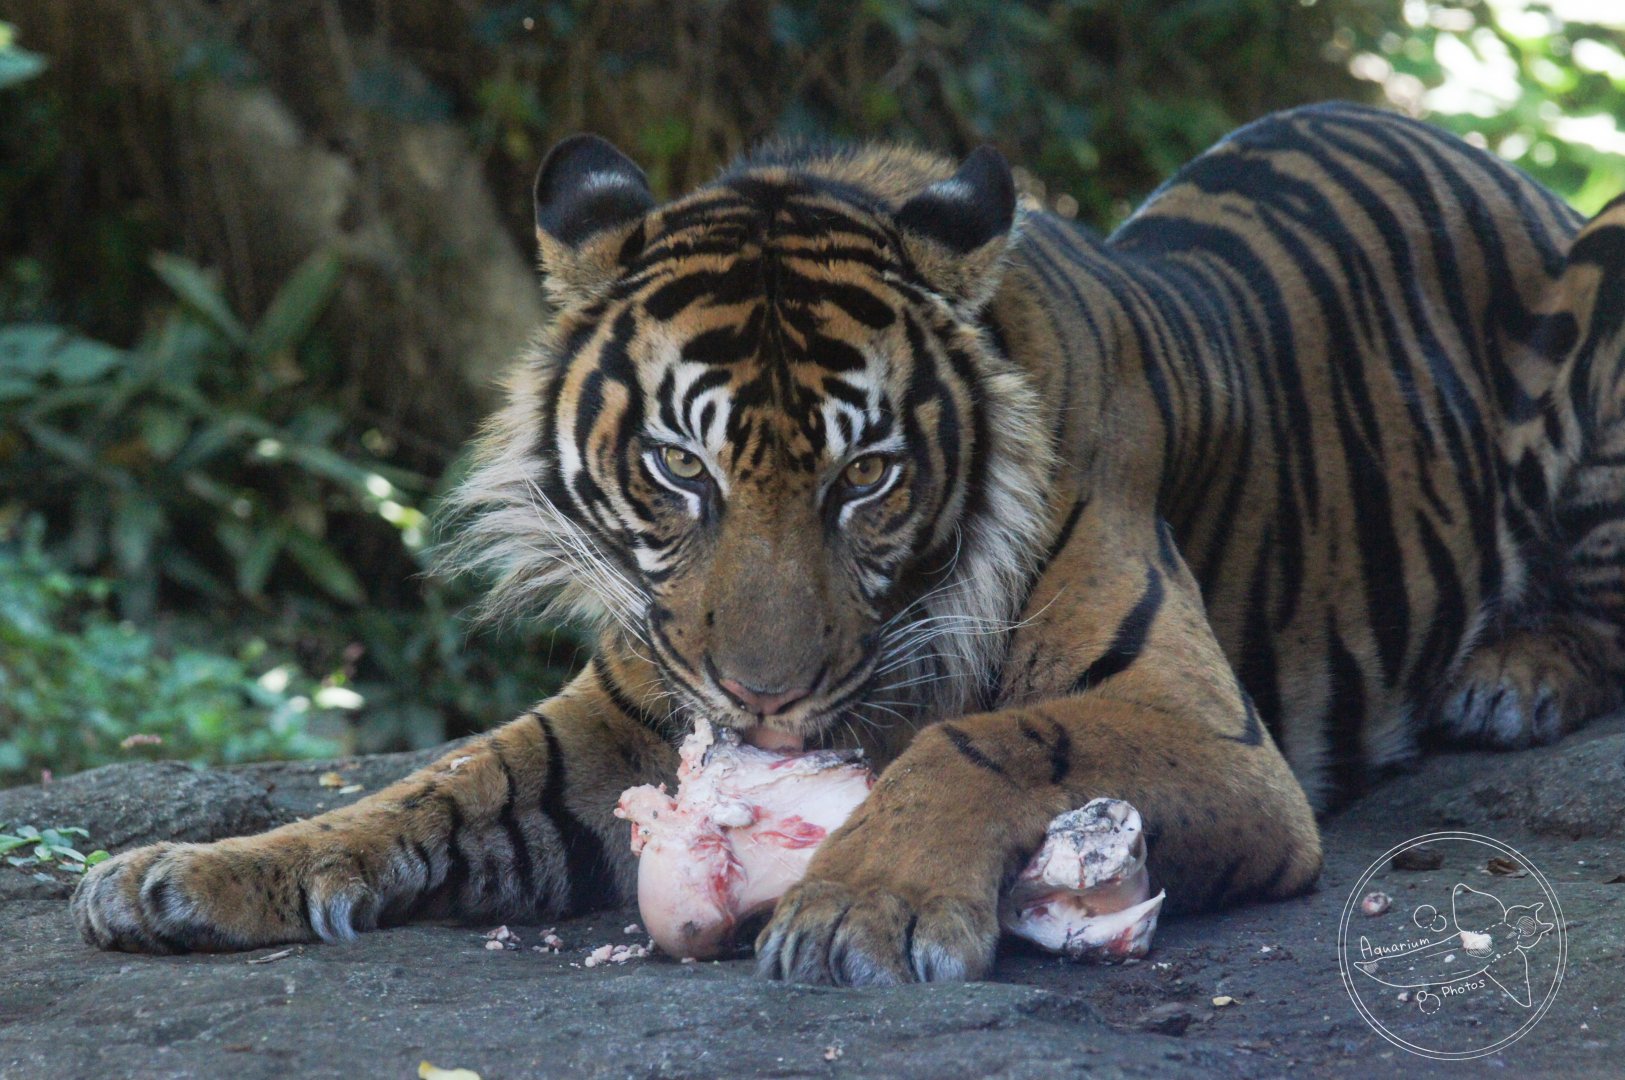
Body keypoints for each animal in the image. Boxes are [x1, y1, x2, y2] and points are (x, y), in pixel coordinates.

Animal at [73, 102, 1625, 986]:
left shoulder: (1207, 731)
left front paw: (858, 907)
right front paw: (189, 874)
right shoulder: (625, 712)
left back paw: (1513, 674)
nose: (761, 699)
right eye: (679, 467)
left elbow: (981, 739)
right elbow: (438, 788)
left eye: (864, 477)